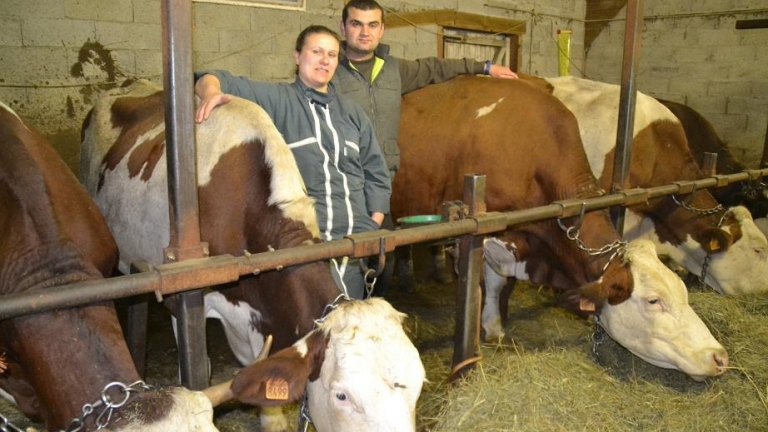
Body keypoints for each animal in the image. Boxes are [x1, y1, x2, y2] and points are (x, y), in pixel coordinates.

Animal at [396, 76, 728, 380]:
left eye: (683, 291)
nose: (719, 356)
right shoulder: (482, 235)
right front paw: (491, 328)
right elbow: (489, 283)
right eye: (653, 301)